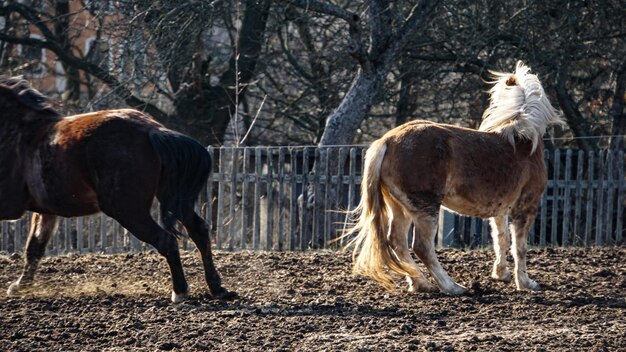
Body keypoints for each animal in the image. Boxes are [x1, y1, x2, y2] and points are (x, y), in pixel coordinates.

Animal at [0, 76, 232, 302]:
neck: (20, 133)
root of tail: (153, 130)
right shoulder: (46, 211)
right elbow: (34, 246)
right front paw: (20, 286)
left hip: (127, 210)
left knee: (166, 240)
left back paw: (180, 291)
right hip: (171, 199)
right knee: (199, 231)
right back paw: (217, 288)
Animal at [344, 62, 564, 294]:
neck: (522, 141)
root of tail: (388, 141)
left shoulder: (501, 210)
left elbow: (501, 239)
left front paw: (501, 274)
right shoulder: (526, 207)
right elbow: (519, 247)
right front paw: (525, 283)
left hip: (400, 207)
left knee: (397, 243)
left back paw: (420, 283)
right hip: (426, 208)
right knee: (422, 247)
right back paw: (452, 286)